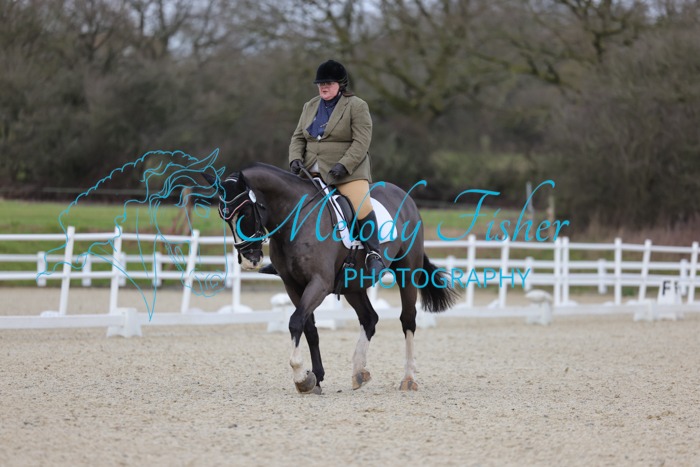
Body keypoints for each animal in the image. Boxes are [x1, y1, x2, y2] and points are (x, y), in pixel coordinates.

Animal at [202, 162, 459, 393]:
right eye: (224, 217)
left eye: (245, 212)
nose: (250, 260)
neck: (296, 218)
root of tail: (404, 196)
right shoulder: (293, 286)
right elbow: (309, 328)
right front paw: (314, 377)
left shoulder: (320, 283)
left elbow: (295, 321)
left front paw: (300, 375)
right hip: (352, 285)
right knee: (369, 318)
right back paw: (359, 372)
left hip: (407, 272)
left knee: (407, 320)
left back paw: (408, 378)